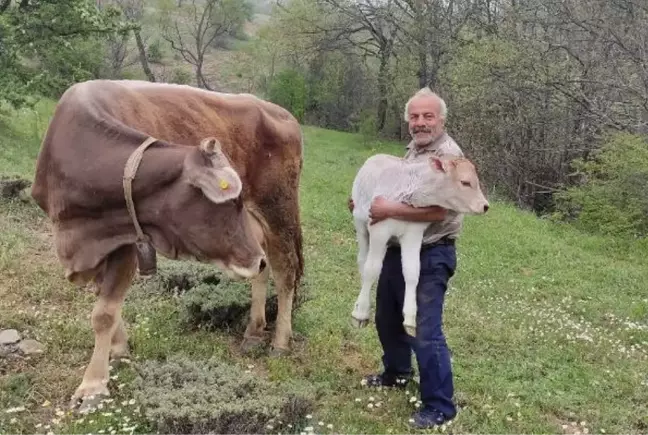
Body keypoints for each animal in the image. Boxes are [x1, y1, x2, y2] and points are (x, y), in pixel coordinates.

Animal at [29, 79, 304, 412]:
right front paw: (119, 350)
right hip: (257, 229)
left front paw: (93, 386)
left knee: (284, 271)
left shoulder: (127, 243)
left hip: (279, 210)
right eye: (233, 201)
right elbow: (105, 304)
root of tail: (280, 111)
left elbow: (104, 313)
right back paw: (253, 331)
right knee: (262, 269)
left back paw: (280, 341)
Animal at [352, 153, 488, 338]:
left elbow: (412, 272)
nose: (485, 206)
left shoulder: (413, 234)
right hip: (360, 223)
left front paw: (410, 319)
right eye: (465, 182)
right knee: (363, 261)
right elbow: (371, 269)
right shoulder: (379, 230)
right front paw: (361, 313)